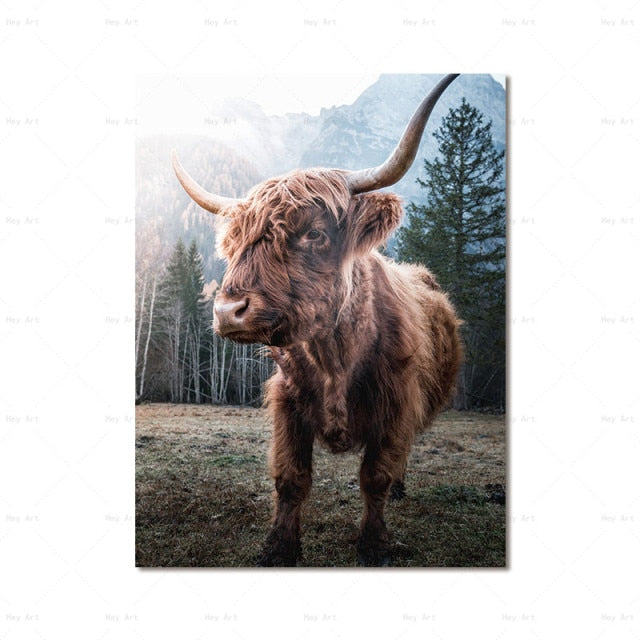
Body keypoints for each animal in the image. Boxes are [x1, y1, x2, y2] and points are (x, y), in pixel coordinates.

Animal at [172, 74, 462, 566]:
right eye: (234, 243)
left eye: (314, 233)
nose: (228, 311)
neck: (334, 356)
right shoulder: (288, 405)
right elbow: (291, 480)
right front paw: (279, 547)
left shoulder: (397, 404)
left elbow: (376, 476)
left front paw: (374, 545)